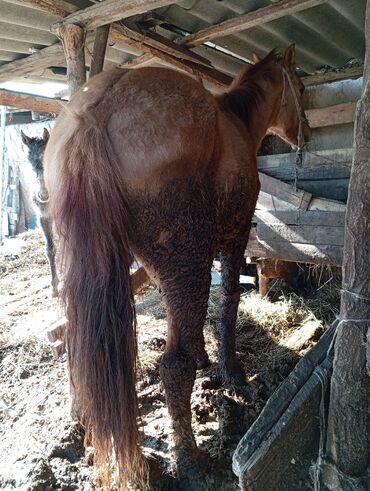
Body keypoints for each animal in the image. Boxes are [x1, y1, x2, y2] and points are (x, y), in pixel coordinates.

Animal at [43, 45, 310, 488]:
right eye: (301, 87)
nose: (306, 133)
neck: (236, 120)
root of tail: (93, 117)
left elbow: (187, 321)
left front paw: (204, 357)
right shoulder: (234, 236)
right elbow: (227, 304)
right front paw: (231, 371)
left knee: (80, 346)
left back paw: (83, 422)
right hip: (188, 256)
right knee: (172, 365)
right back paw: (189, 458)